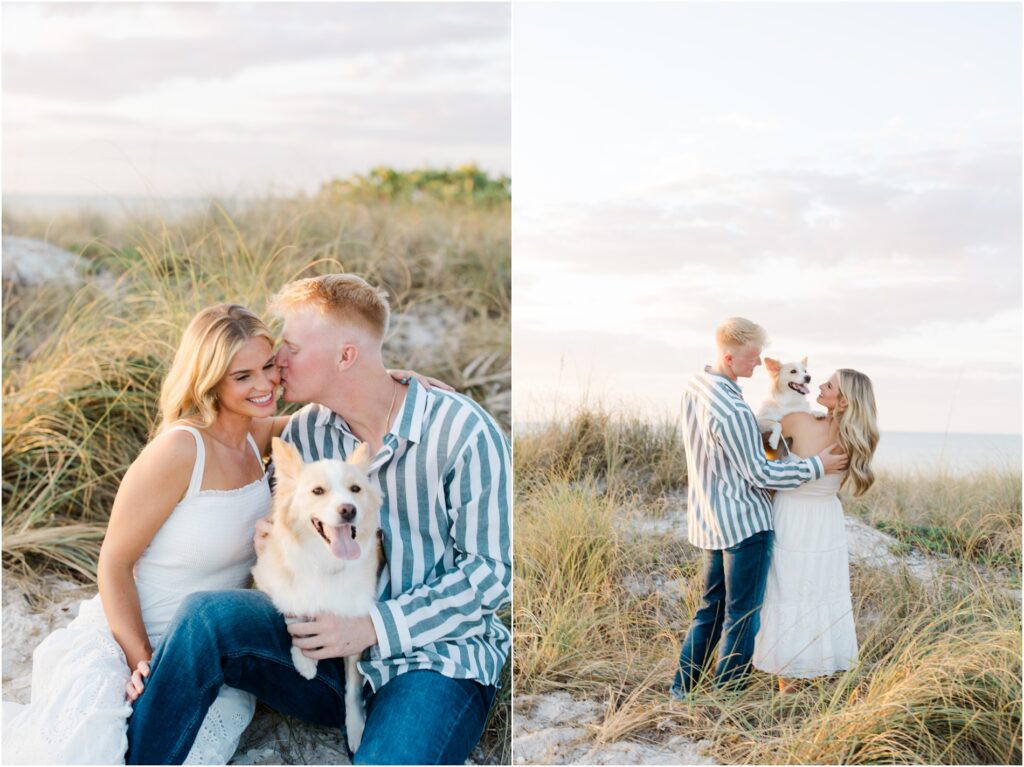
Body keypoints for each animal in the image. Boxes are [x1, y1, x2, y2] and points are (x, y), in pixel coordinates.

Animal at [252, 440, 385, 749]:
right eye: (318, 491)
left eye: (355, 489)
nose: (348, 510)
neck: (326, 560)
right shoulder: (264, 575)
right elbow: (293, 606)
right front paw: (305, 659)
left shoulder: (354, 623)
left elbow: (353, 689)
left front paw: (356, 728)